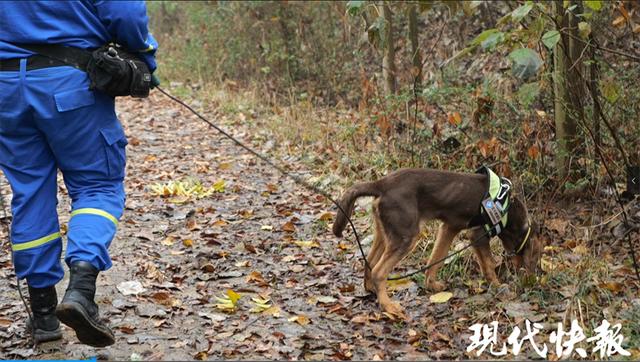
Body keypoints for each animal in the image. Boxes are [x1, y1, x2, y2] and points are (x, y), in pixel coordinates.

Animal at [332, 168, 544, 316]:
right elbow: (489, 265)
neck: (509, 209)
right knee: (378, 271)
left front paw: (432, 286)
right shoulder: (477, 235)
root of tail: (382, 183)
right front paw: (499, 287)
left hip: (386, 233)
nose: (533, 280)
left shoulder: (448, 228)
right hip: (406, 236)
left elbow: (436, 260)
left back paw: (371, 289)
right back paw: (388, 306)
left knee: (369, 261)